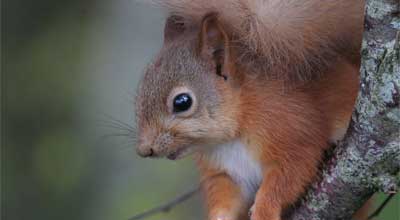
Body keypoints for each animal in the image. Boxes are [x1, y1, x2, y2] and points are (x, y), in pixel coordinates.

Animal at [135, 0, 366, 219]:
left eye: (182, 102)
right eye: (139, 94)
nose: (144, 150)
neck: (233, 134)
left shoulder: (293, 134)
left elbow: (287, 178)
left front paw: (264, 212)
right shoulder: (226, 172)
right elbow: (226, 197)